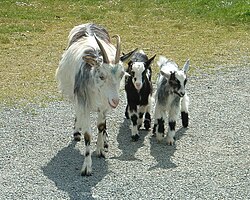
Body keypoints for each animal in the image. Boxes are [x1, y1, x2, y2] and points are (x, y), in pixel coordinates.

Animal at [56, 23, 137, 175]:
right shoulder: (83, 103)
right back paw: (77, 132)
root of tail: (87, 24)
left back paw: (105, 141)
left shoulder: (104, 105)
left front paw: (100, 149)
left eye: (122, 74)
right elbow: (88, 134)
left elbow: (101, 126)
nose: (115, 101)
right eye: (101, 76)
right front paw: (87, 167)